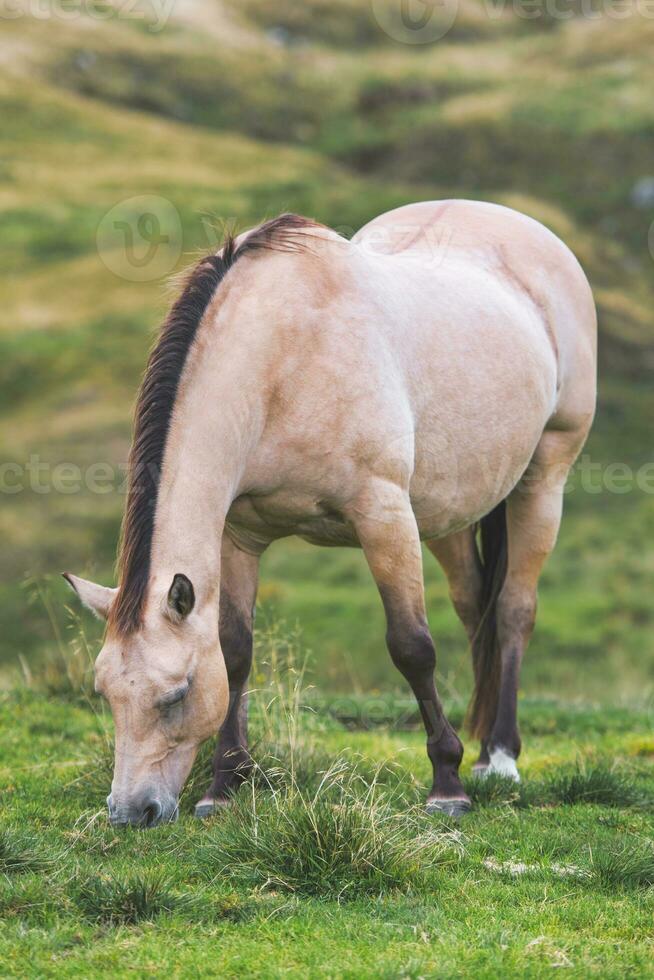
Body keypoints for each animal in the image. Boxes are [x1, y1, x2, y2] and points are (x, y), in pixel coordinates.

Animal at [64, 201, 596, 828]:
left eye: (175, 695)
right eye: (106, 695)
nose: (131, 812)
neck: (287, 359)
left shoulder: (383, 515)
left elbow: (412, 647)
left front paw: (447, 785)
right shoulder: (238, 535)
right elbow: (236, 651)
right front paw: (224, 786)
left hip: (545, 477)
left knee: (513, 609)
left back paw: (501, 757)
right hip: (452, 509)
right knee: (475, 610)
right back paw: (486, 744)